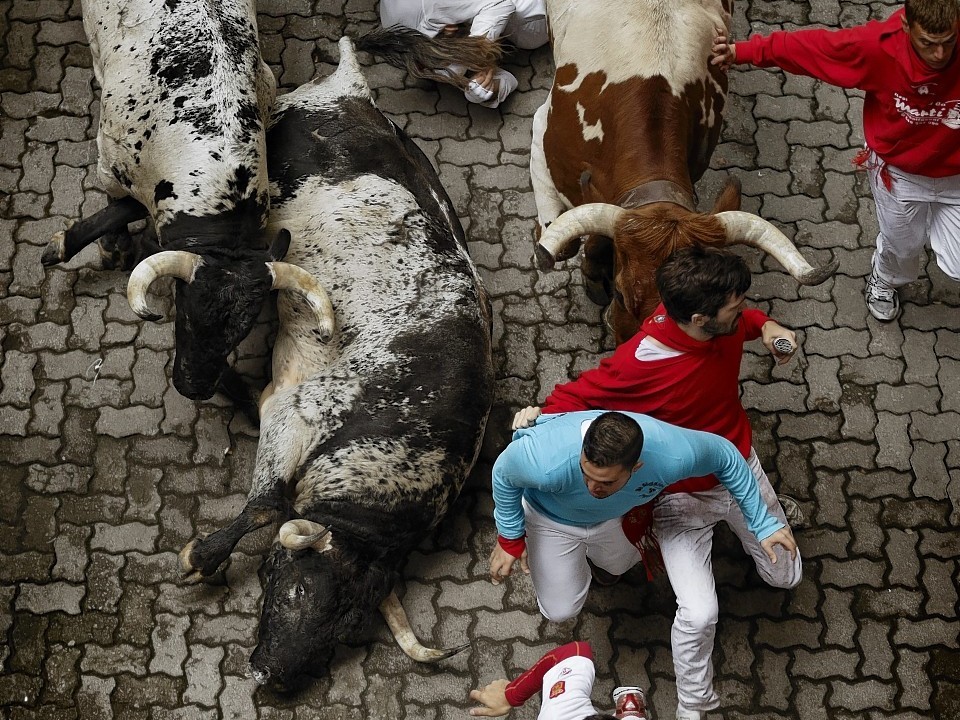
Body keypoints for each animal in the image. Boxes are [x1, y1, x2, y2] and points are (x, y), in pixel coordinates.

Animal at [178, 38, 496, 688]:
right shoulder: (292, 412)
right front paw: (203, 554)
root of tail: (350, 89)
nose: (271, 676)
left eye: (347, 627)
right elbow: (266, 505)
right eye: (292, 587)